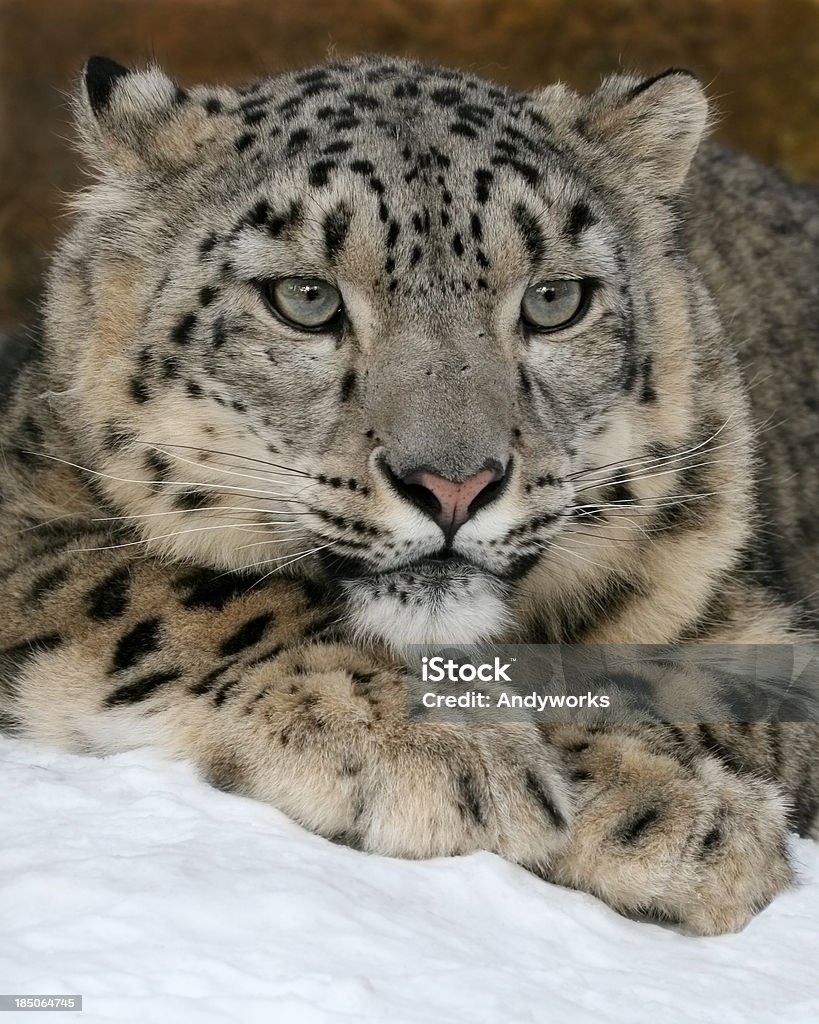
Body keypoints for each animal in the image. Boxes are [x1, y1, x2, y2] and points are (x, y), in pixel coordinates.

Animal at [0, 56, 814, 937]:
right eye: (305, 298)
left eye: (554, 300)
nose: (453, 483)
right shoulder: (30, 524)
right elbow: (196, 591)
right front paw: (474, 756)